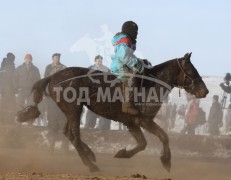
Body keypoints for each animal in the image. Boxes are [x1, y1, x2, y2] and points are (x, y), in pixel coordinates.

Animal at [16, 52, 209, 172]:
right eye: (191, 70)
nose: (205, 91)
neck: (151, 84)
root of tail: (53, 77)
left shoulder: (132, 123)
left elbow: (143, 144)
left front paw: (122, 153)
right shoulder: (144, 120)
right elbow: (163, 136)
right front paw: (166, 161)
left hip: (72, 111)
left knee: (68, 133)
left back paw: (91, 155)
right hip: (73, 109)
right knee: (74, 136)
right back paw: (92, 166)